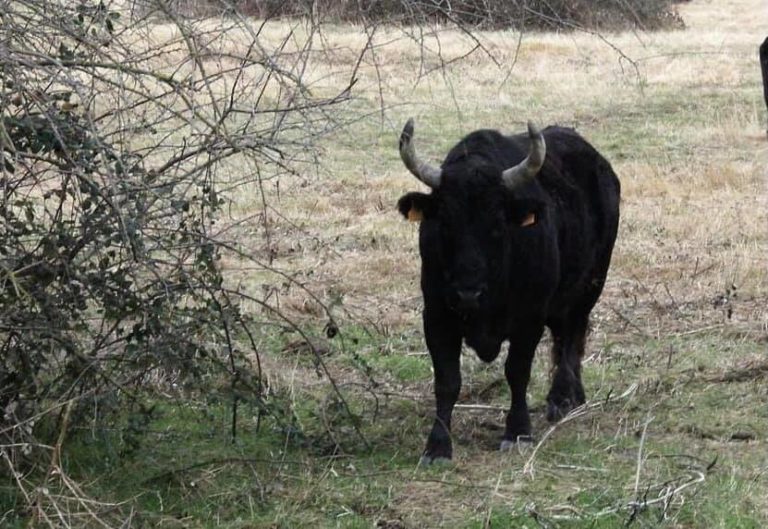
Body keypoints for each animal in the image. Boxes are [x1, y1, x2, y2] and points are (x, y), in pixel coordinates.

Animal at [392, 119, 620, 462]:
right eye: (445, 223)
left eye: (497, 225)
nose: (467, 294)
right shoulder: (436, 317)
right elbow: (447, 381)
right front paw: (438, 444)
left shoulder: (530, 318)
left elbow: (517, 371)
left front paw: (518, 431)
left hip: (590, 287)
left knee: (571, 338)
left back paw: (562, 397)